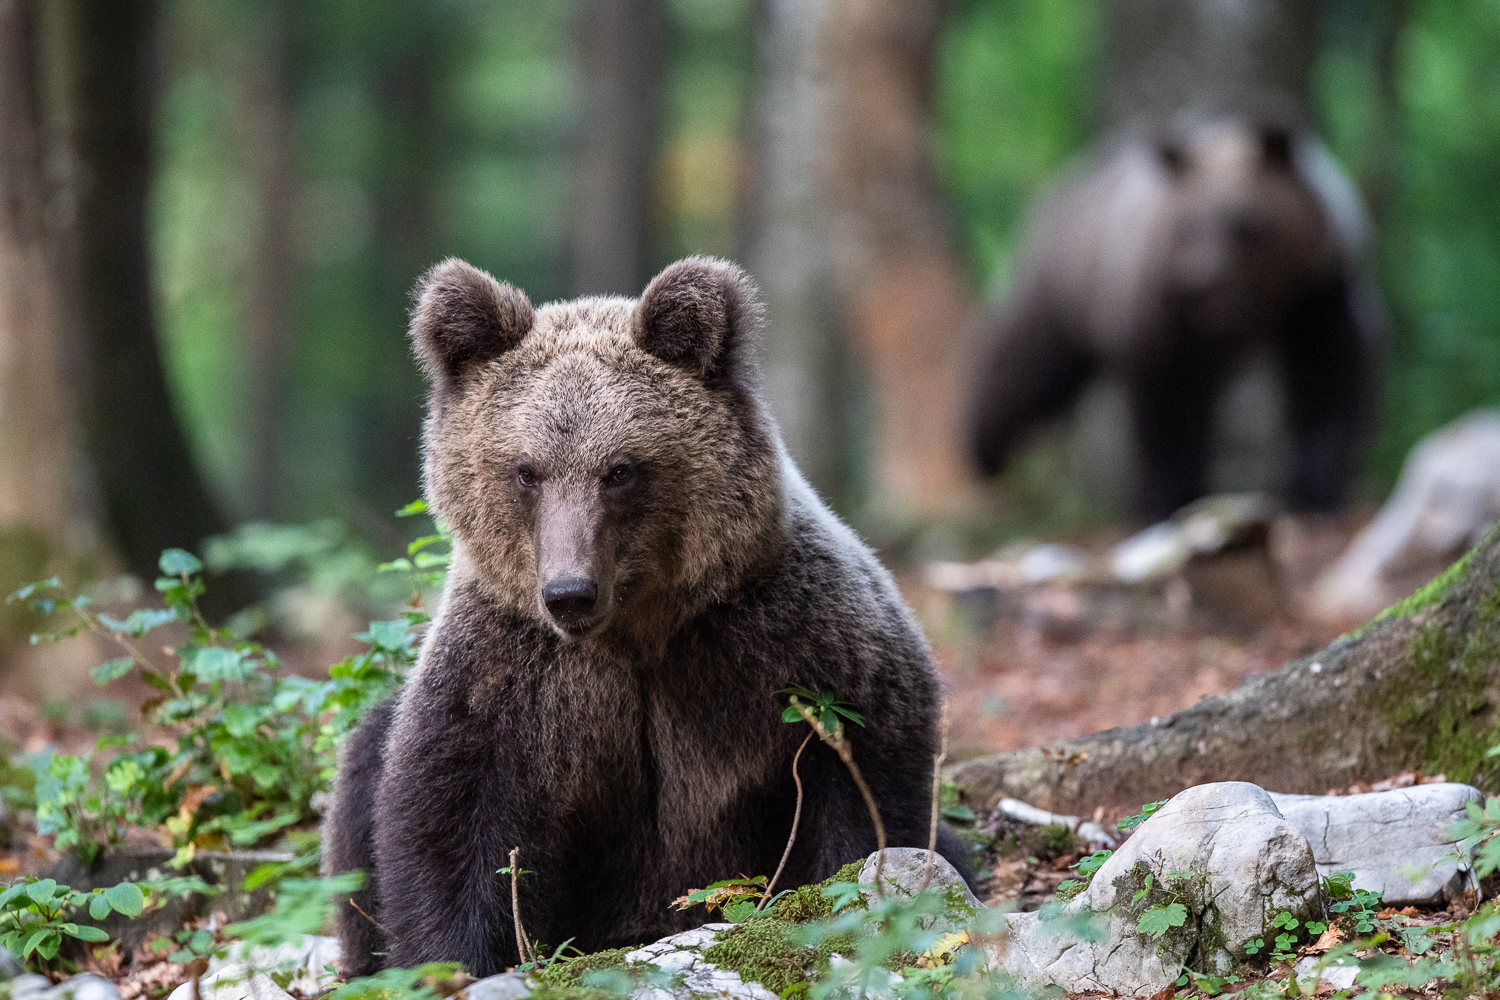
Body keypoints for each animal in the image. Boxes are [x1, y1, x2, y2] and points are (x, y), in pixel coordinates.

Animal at [322, 256, 966, 977]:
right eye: (525, 471)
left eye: (621, 469)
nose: (570, 591)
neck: (637, 632)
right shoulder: (511, 675)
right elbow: (451, 823)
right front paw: (450, 960)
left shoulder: (796, 644)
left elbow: (865, 791)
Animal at [972, 115, 1380, 524]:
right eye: (1187, 226)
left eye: (1242, 224)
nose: (1200, 283)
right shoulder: (1164, 313)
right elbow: (1170, 409)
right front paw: (1168, 499)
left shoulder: (1318, 293)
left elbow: (1328, 379)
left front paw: (1312, 491)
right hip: (1069, 283)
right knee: (1030, 364)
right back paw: (985, 452)